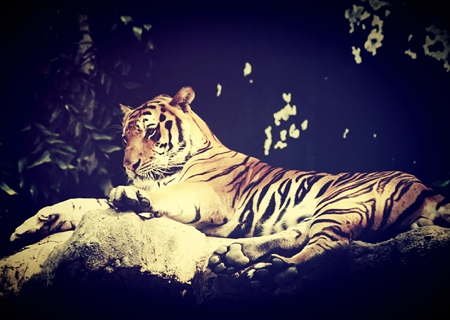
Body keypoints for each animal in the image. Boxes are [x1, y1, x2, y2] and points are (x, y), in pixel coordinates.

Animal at [9, 85, 450, 288]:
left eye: (150, 132)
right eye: (124, 137)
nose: (128, 165)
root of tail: (426, 187)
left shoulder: (203, 196)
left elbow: (154, 196)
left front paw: (133, 195)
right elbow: (84, 202)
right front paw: (34, 224)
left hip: (343, 202)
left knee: (331, 246)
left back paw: (273, 272)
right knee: (302, 235)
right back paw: (235, 257)